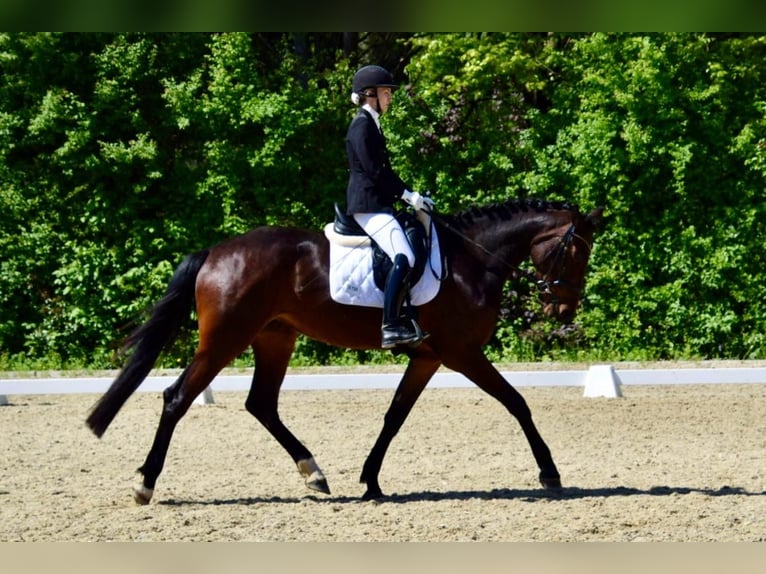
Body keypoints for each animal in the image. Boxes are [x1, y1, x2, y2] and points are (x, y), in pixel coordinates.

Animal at [85, 198, 608, 504]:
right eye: (577, 251)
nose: (563, 309)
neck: (471, 260)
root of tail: (215, 252)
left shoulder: (429, 356)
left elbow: (395, 415)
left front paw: (371, 481)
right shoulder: (460, 352)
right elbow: (517, 402)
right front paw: (550, 473)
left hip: (275, 337)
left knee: (262, 404)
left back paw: (314, 474)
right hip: (225, 340)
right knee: (177, 399)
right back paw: (145, 484)